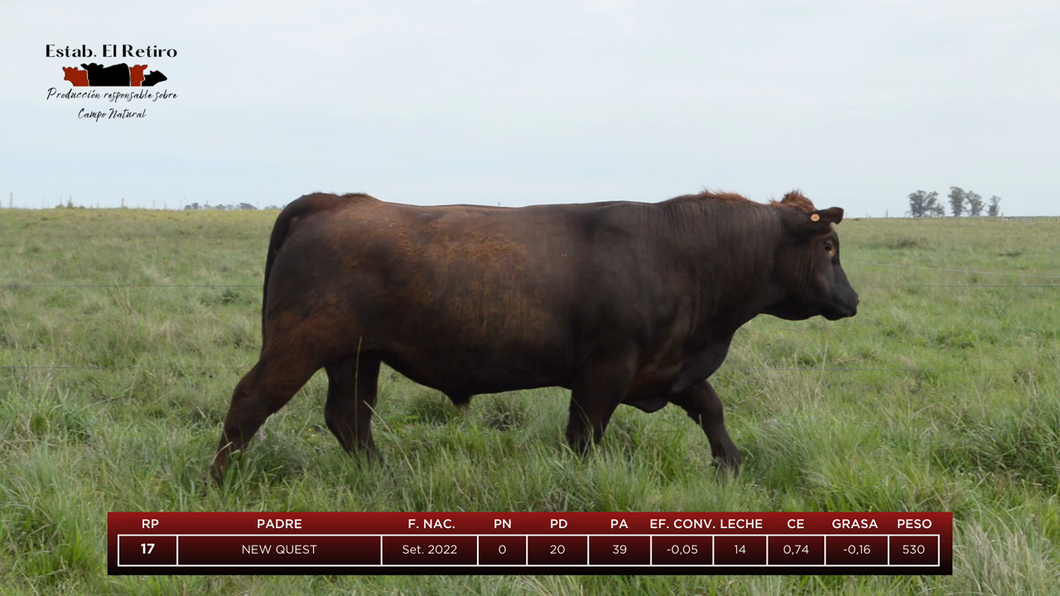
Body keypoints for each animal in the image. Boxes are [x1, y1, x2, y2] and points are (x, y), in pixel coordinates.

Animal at [210, 187, 856, 479]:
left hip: (355, 354)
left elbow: (712, 410)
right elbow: (584, 434)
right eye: (828, 246)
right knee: (250, 401)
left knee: (349, 417)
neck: (679, 254)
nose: (851, 300)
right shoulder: (606, 369)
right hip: (300, 342)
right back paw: (220, 481)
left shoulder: (668, 366)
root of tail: (336, 200)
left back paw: (381, 475)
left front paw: (732, 466)